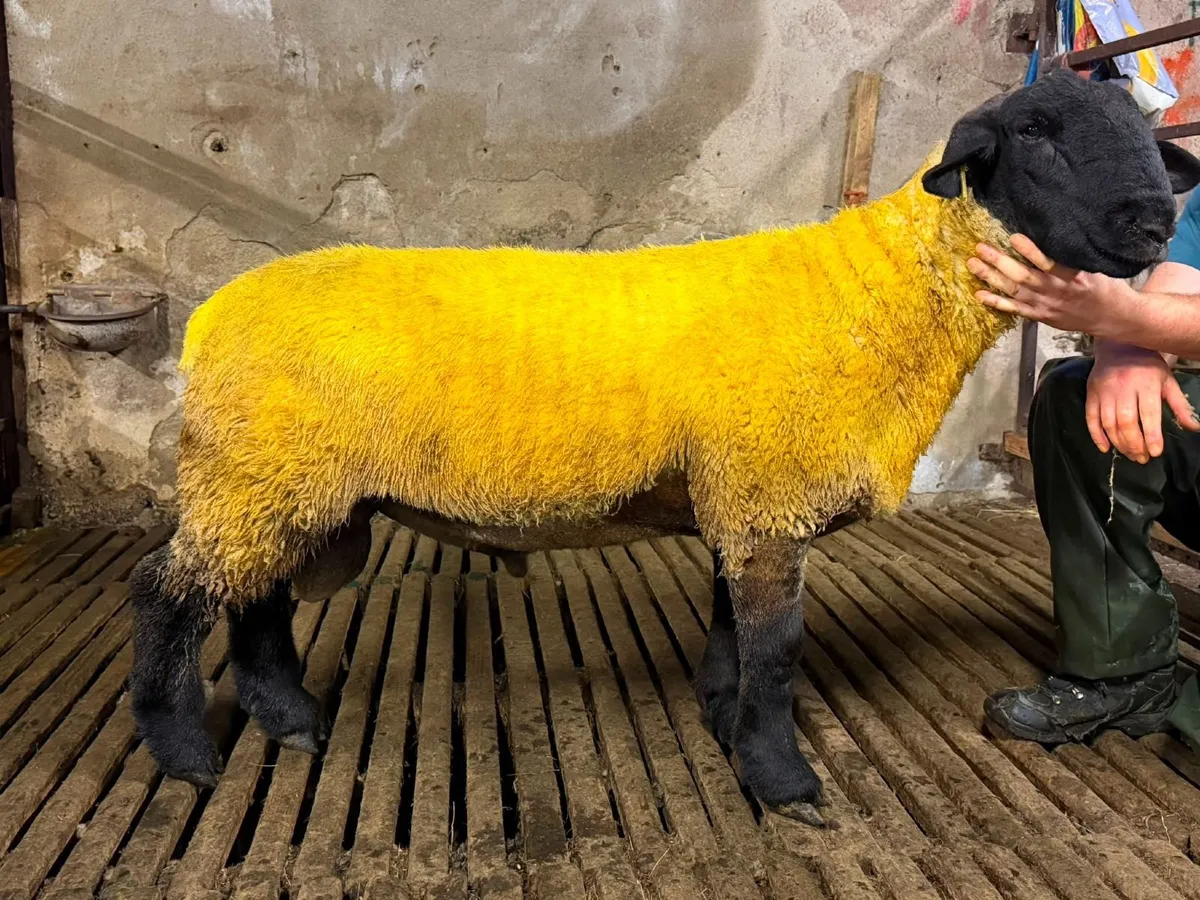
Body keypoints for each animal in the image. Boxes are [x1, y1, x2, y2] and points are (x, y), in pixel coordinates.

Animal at [129, 69, 1200, 827]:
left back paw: (291, 722)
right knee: (170, 598)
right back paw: (185, 755)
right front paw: (782, 780)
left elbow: (732, 634)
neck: (876, 298)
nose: (1154, 221)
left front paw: (724, 724)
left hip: (287, 484)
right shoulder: (769, 492)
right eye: (1035, 133)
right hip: (259, 473)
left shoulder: (743, 497)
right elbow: (778, 650)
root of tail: (211, 317)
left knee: (255, 601)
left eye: (1151, 140)